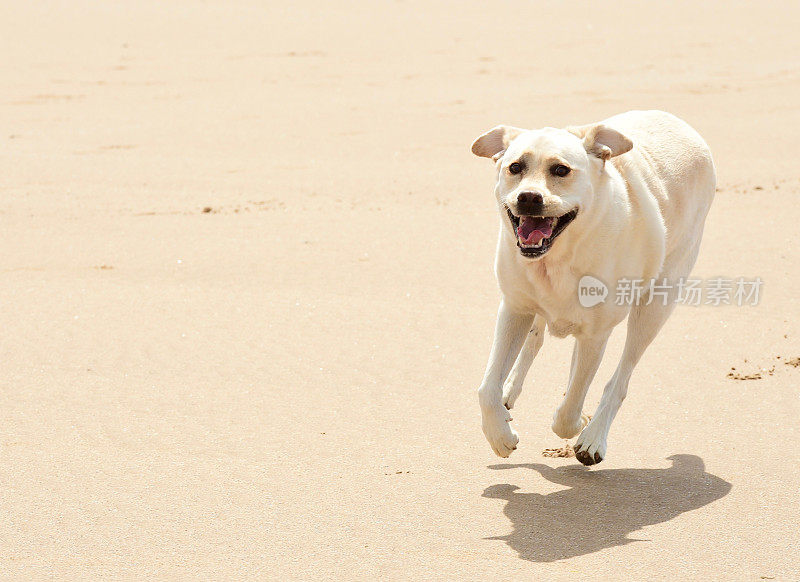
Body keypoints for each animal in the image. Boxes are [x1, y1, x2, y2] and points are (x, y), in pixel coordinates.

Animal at [472, 110, 716, 466]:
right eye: (515, 167)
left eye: (561, 170)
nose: (528, 198)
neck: (557, 260)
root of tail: (679, 122)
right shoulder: (515, 308)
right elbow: (486, 387)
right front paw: (500, 436)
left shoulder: (596, 334)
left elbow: (571, 406)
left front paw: (577, 425)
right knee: (536, 341)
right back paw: (510, 393)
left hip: (656, 304)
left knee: (619, 379)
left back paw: (593, 437)